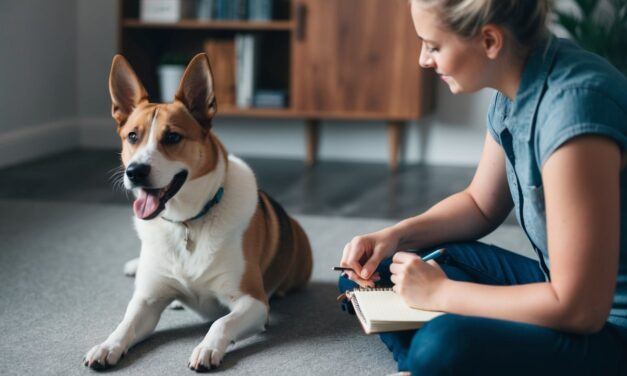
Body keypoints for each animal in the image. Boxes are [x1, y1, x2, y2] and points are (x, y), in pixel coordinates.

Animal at [84, 52, 314, 370]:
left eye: (172, 137)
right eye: (132, 136)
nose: (135, 172)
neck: (187, 222)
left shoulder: (253, 302)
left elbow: (221, 323)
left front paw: (207, 348)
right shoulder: (147, 301)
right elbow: (125, 324)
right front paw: (108, 346)